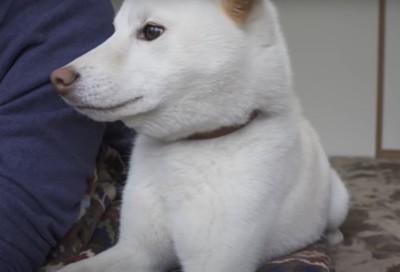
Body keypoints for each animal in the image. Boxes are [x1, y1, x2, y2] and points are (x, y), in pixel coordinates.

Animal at [51, 0, 348, 272]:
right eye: (113, 31)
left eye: (151, 31)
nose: (57, 79)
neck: (189, 143)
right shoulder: (137, 250)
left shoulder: (215, 261)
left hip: (339, 201)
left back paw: (332, 236)